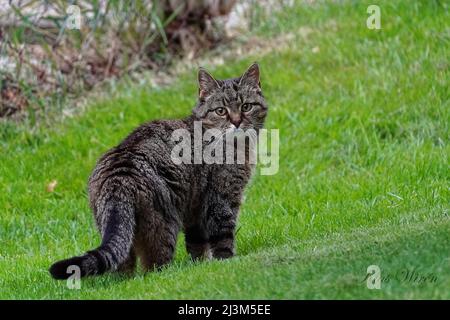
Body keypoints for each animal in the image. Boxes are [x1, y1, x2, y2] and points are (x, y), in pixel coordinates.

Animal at [49, 62, 268, 278]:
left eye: (246, 107)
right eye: (221, 110)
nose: (237, 122)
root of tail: (118, 178)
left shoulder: (195, 209)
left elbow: (197, 244)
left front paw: (202, 265)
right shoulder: (220, 199)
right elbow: (223, 239)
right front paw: (227, 262)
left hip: (121, 232)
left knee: (122, 270)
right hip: (163, 227)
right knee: (154, 268)